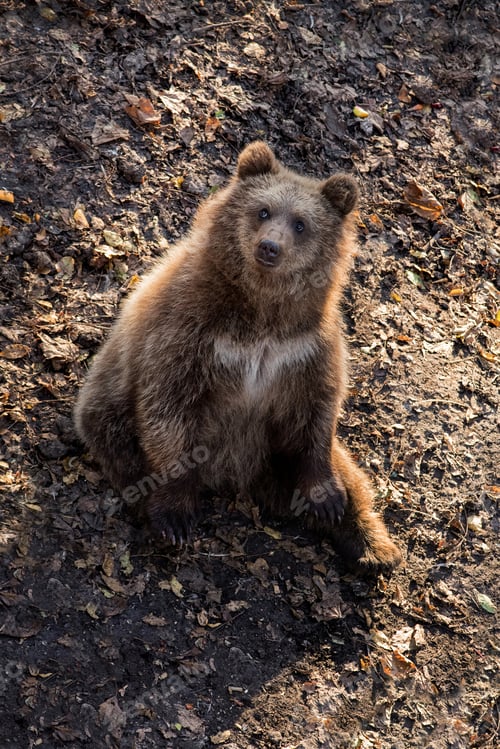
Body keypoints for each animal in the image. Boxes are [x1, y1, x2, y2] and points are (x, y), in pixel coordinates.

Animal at [74, 141, 402, 572]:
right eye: (263, 210)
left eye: (301, 223)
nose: (270, 246)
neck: (261, 311)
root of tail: (235, 475)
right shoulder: (190, 333)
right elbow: (169, 407)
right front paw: (175, 517)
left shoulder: (304, 347)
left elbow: (317, 412)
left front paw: (328, 500)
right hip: (110, 405)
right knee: (121, 447)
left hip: (270, 450)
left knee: (348, 475)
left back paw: (375, 548)